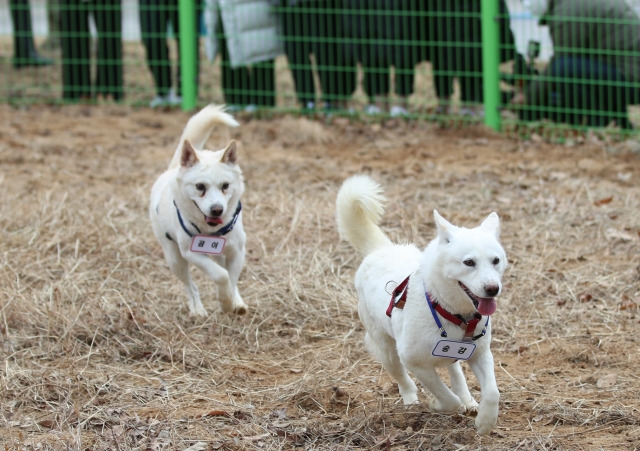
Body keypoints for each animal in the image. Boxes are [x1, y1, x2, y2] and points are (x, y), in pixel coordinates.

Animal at [150, 105, 248, 318]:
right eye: (200, 187)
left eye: (225, 186)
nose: (217, 210)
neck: (212, 232)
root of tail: (172, 171)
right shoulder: (191, 252)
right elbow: (221, 275)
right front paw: (225, 301)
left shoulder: (237, 251)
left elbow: (232, 279)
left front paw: (231, 302)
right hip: (174, 258)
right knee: (190, 286)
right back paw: (197, 309)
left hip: (219, 254)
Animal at [338, 175, 508, 436]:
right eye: (469, 262)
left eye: (496, 260)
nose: (493, 289)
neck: (453, 312)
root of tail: (381, 249)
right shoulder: (415, 362)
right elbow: (446, 397)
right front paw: (436, 405)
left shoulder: (479, 353)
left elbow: (492, 392)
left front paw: (485, 421)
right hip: (387, 351)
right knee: (403, 378)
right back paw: (411, 400)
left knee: (455, 371)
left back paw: (468, 400)